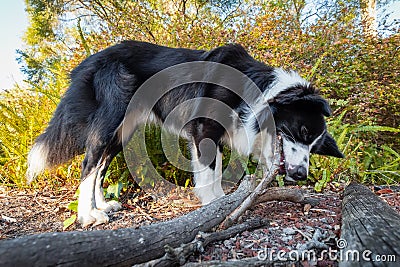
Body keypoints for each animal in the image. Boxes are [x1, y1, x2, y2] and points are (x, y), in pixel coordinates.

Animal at [26, 40, 344, 227]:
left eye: (315, 146)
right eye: (302, 130)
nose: (301, 175)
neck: (256, 92)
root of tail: (88, 62)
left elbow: (215, 172)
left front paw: (218, 204)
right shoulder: (203, 129)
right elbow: (209, 175)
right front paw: (213, 206)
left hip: (122, 131)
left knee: (100, 165)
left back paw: (102, 204)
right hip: (110, 119)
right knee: (87, 164)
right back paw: (87, 215)